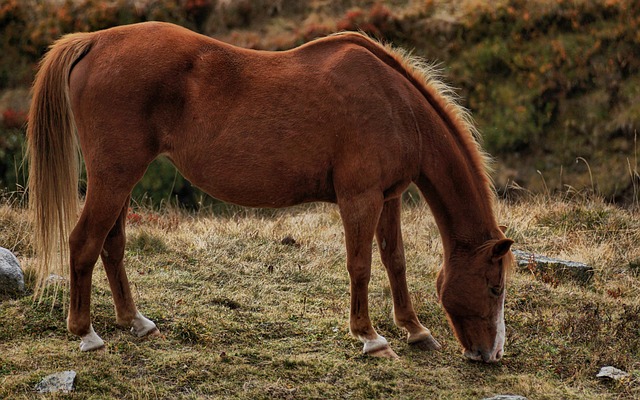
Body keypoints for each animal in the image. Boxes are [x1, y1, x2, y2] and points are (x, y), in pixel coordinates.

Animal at [27, 21, 516, 362]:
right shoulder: (360, 199)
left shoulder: (389, 196)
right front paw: (371, 338)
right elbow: (360, 266)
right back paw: (87, 334)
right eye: (494, 288)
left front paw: (415, 330)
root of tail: (94, 41)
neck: (394, 105)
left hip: (122, 179)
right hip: (114, 177)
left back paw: (136, 322)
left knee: (112, 244)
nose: (490, 354)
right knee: (84, 243)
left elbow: (395, 262)